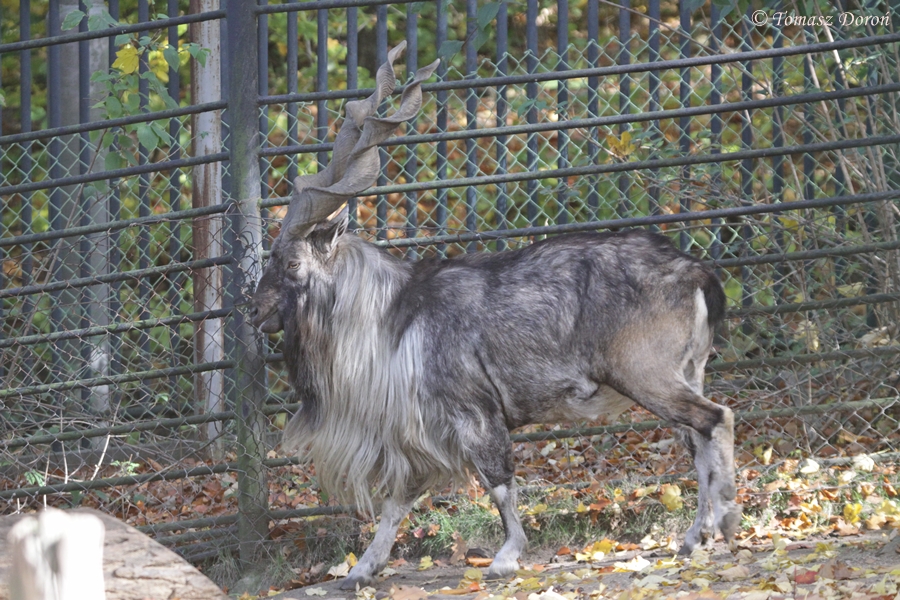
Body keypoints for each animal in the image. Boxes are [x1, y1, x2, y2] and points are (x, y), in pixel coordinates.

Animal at [249, 42, 741, 590]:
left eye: (292, 263)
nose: (255, 310)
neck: (387, 317)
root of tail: (696, 272)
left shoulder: (475, 415)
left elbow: (499, 483)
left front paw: (507, 557)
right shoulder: (423, 436)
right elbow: (396, 504)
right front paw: (361, 570)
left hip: (647, 374)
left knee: (715, 420)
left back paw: (721, 523)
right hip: (686, 372)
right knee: (698, 440)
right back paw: (696, 536)